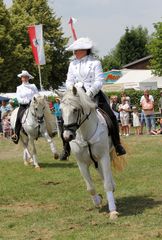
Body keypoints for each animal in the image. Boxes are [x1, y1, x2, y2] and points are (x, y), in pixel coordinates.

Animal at [57, 86, 125, 219]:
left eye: (75, 110)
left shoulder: (104, 157)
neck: (85, 134)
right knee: (101, 173)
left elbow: (107, 184)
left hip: (107, 155)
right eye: (61, 110)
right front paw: (98, 200)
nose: (67, 136)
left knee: (107, 176)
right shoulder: (82, 164)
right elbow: (90, 188)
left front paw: (113, 211)